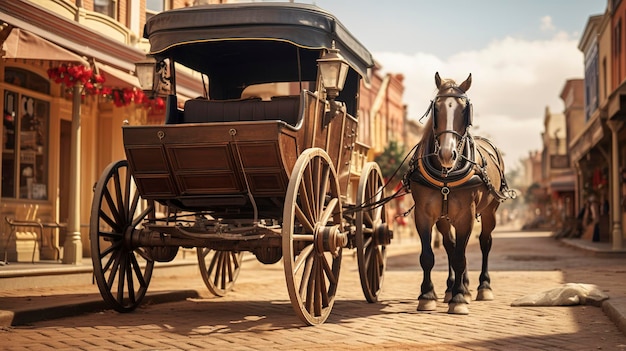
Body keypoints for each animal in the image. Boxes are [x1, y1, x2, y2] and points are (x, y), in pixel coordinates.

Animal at [404, 73, 512, 314]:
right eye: (436, 108)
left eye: (465, 110)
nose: (447, 154)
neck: (446, 174)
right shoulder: (424, 215)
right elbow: (429, 256)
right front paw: (427, 295)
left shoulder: (466, 216)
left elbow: (461, 257)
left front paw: (459, 298)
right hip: (444, 218)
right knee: (450, 246)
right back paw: (453, 287)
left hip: (490, 212)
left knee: (484, 242)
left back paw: (482, 287)